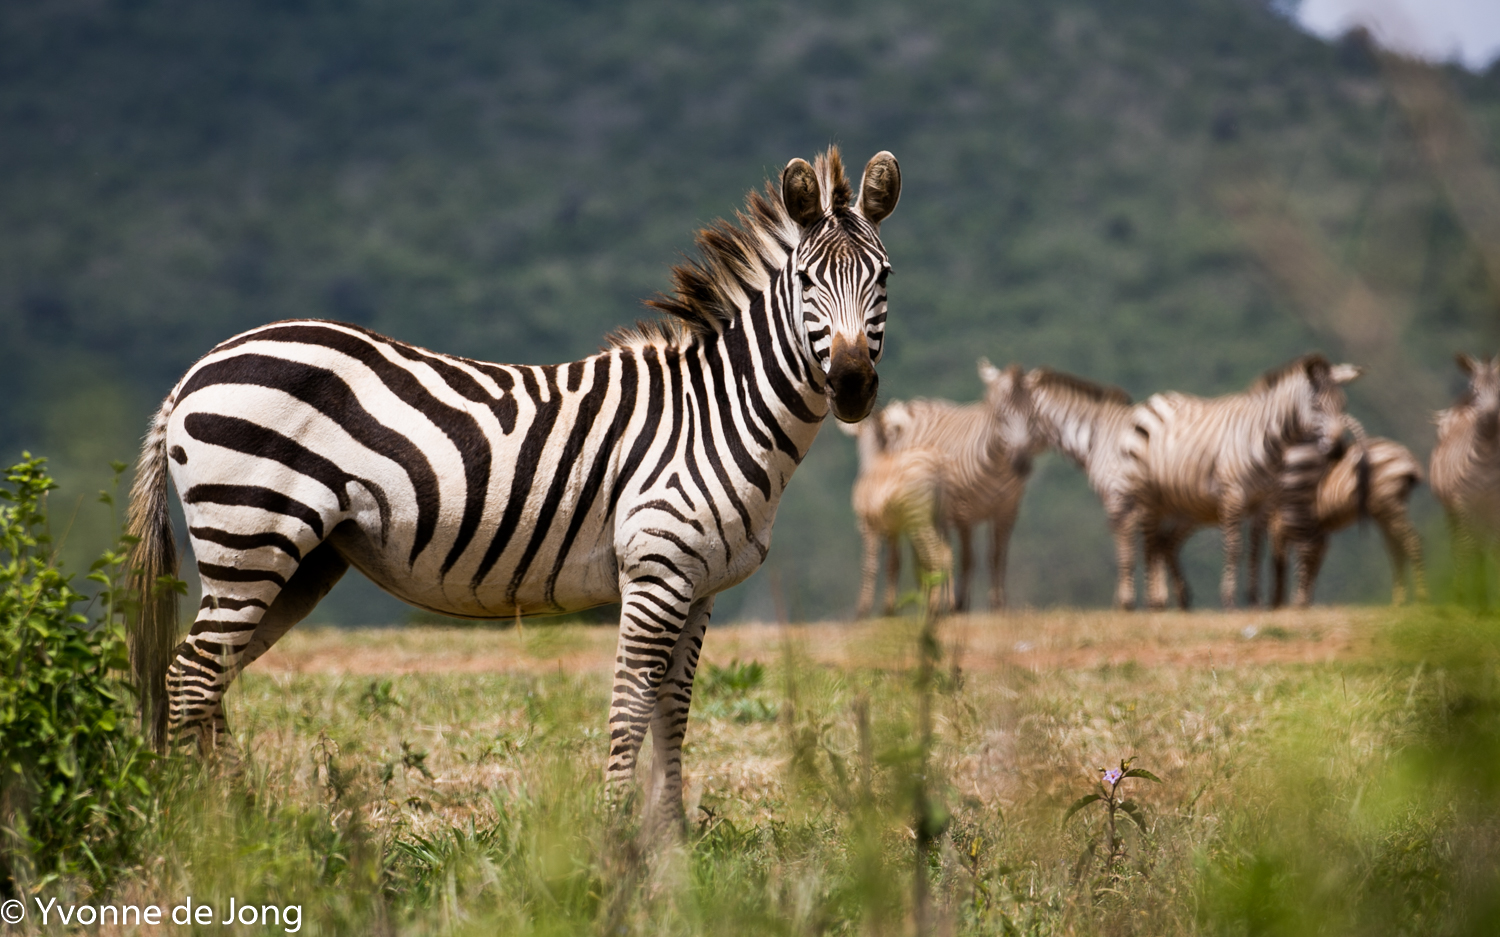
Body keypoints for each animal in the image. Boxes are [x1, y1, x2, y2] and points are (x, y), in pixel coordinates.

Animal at [126, 148, 901, 824]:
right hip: (250, 536)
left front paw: (673, 843)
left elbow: (672, 713)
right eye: (806, 283)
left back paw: (238, 820)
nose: (853, 386)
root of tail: (196, 370)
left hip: (298, 561)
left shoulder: (699, 584)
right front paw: (615, 840)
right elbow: (630, 706)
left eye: (885, 277)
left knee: (210, 677)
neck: (719, 411)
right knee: (190, 675)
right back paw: (199, 825)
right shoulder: (656, 573)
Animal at [842, 359, 1038, 615]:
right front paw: (890, 608)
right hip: (937, 516)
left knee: (937, 555)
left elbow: (872, 565)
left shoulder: (869, 524)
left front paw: (865, 611)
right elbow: (896, 563)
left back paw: (937, 605)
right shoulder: (897, 526)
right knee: (942, 555)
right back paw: (942, 604)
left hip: (925, 518)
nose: (1023, 462)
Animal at [1127, 355, 1362, 610]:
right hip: (1148, 493)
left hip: (1183, 502)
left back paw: (1178, 600)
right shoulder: (1234, 495)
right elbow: (1234, 547)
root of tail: (1156, 399)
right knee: (1150, 542)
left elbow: (1256, 550)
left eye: (1343, 405)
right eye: (1317, 406)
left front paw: (1254, 600)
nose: (1338, 450)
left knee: (1163, 542)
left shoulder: (1264, 503)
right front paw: (1229, 601)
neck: (1269, 441)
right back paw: (1155, 601)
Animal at [1431, 353, 1500, 596]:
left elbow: (1494, 549)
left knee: (1481, 546)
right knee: (1461, 545)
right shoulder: (1461, 502)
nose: (1491, 420)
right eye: (1475, 389)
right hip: (1451, 510)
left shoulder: (1495, 505)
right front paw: (1461, 594)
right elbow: (1466, 548)